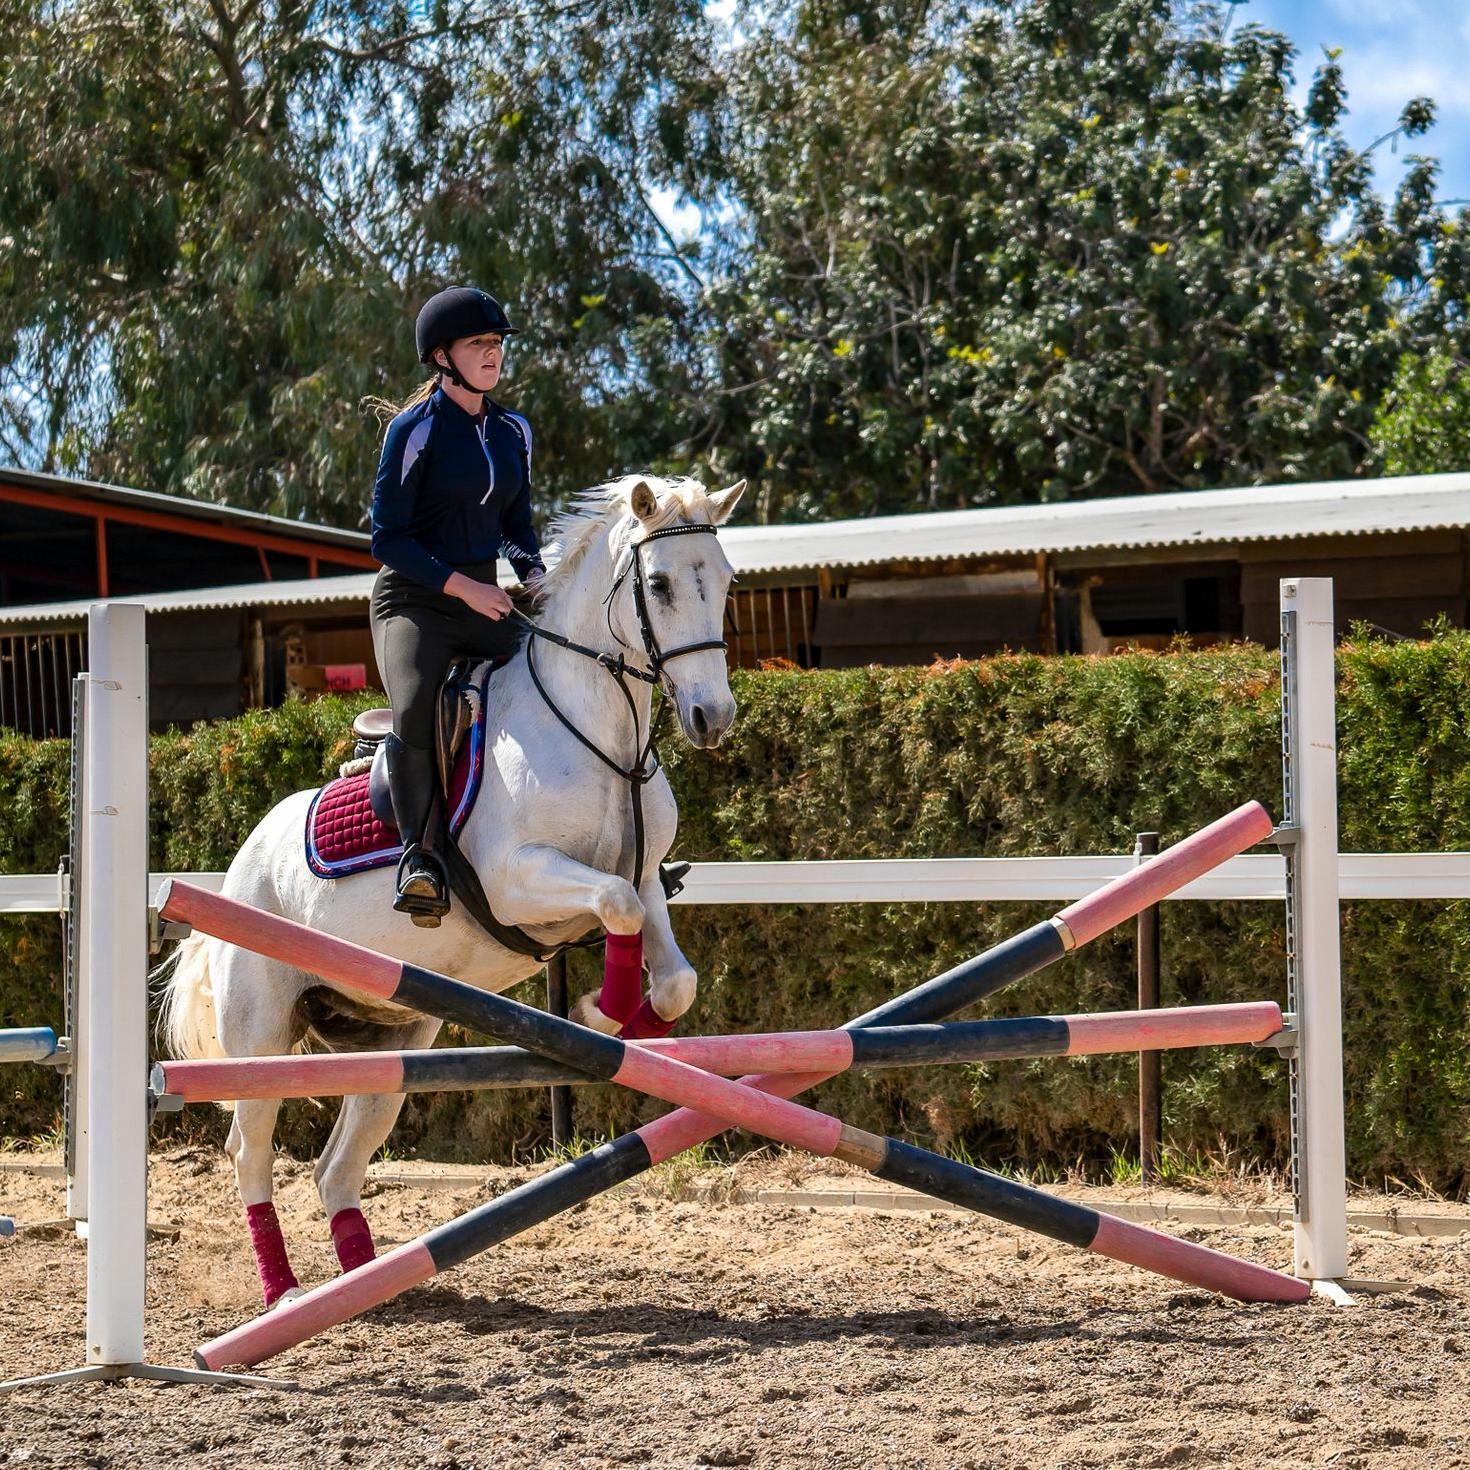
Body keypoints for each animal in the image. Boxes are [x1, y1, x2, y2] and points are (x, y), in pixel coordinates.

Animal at [159, 473, 745, 1304]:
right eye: (659, 585)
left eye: (724, 581)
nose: (712, 717)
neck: (602, 738)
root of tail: (240, 865)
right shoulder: (516, 879)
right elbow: (614, 904)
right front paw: (603, 1011)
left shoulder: (646, 882)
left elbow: (673, 974)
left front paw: (627, 1022)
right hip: (262, 1038)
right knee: (252, 1151)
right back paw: (286, 1293)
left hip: (395, 1044)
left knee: (337, 1166)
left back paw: (362, 1280)